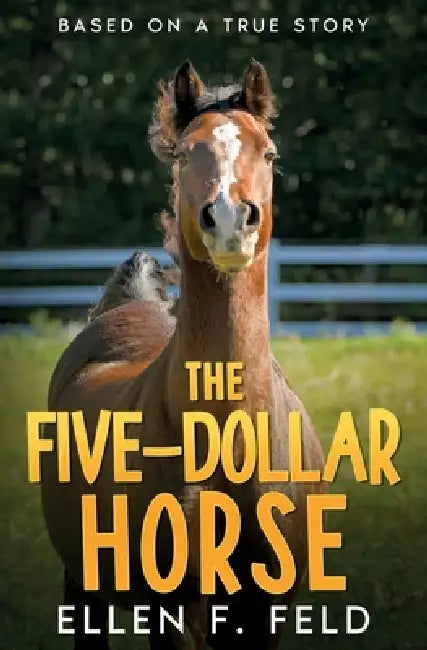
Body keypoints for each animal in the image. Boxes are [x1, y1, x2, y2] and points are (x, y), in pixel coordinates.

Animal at [41, 59, 326, 650]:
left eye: (268, 152)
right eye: (183, 154)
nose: (231, 219)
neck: (228, 442)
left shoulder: (268, 608)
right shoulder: (174, 609)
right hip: (81, 586)